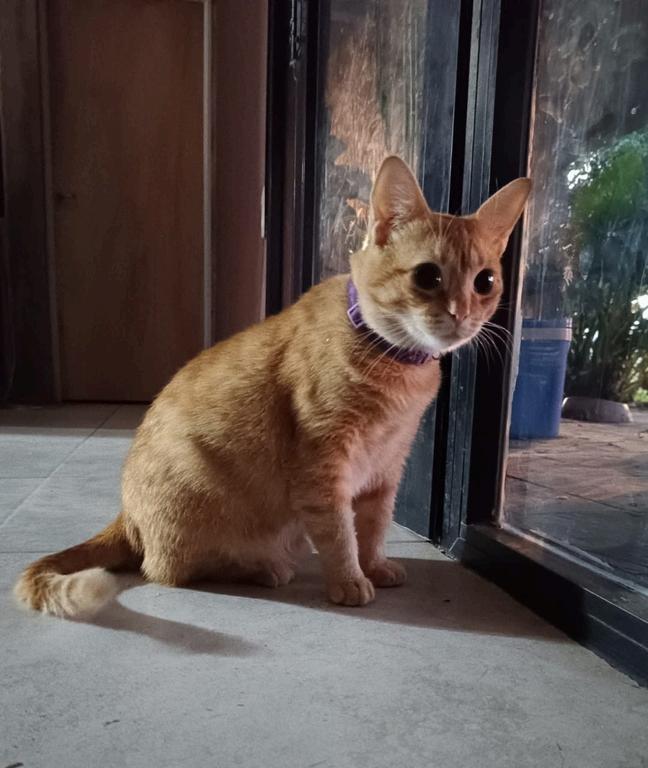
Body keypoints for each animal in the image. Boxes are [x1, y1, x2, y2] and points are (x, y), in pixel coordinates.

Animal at [14, 156, 530, 617]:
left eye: (485, 281)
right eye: (428, 276)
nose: (462, 313)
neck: (394, 363)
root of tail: (127, 515)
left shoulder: (387, 467)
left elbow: (374, 526)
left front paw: (376, 565)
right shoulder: (323, 468)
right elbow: (340, 532)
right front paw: (349, 580)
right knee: (169, 570)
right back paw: (264, 568)